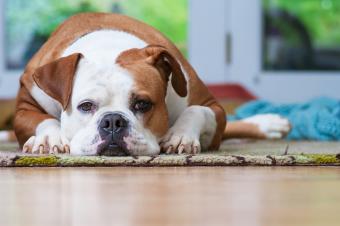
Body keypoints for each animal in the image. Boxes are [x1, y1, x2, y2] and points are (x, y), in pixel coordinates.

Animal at [9, 13, 290, 156]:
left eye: (143, 104)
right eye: (85, 106)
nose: (113, 121)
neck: (107, 48)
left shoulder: (211, 105)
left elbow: (196, 110)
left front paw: (180, 135)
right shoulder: (25, 105)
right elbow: (42, 119)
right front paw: (49, 138)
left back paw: (269, 123)